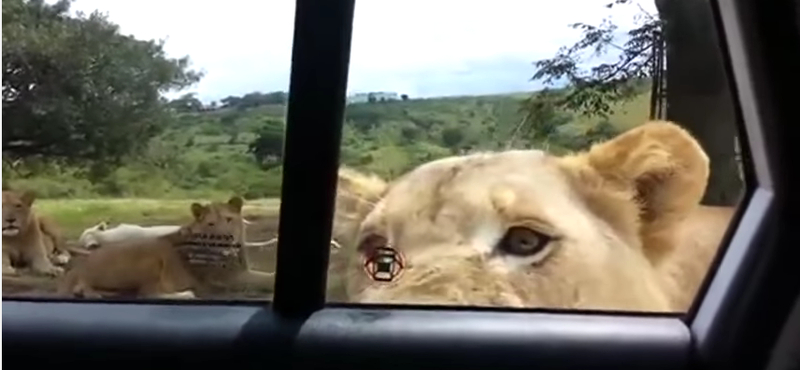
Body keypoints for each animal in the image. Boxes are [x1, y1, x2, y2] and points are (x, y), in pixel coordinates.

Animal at [56, 195, 276, 300]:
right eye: (211, 224)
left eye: (229, 219)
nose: (226, 237)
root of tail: (78, 268)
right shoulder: (230, 279)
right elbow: (266, 279)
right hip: (150, 259)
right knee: (146, 292)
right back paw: (186, 295)